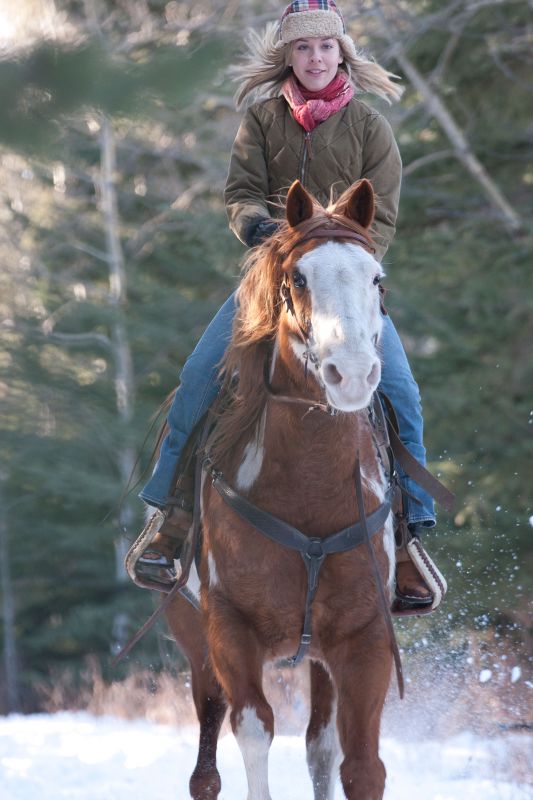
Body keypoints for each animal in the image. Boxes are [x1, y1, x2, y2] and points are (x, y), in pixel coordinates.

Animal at [165, 178, 398, 800]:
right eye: (297, 279)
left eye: (376, 278)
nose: (352, 373)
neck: (309, 490)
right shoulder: (231, 630)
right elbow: (254, 727)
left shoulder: (364, 635)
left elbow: (359, 764)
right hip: (196, 643)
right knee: (207, 759)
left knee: (320, 745)